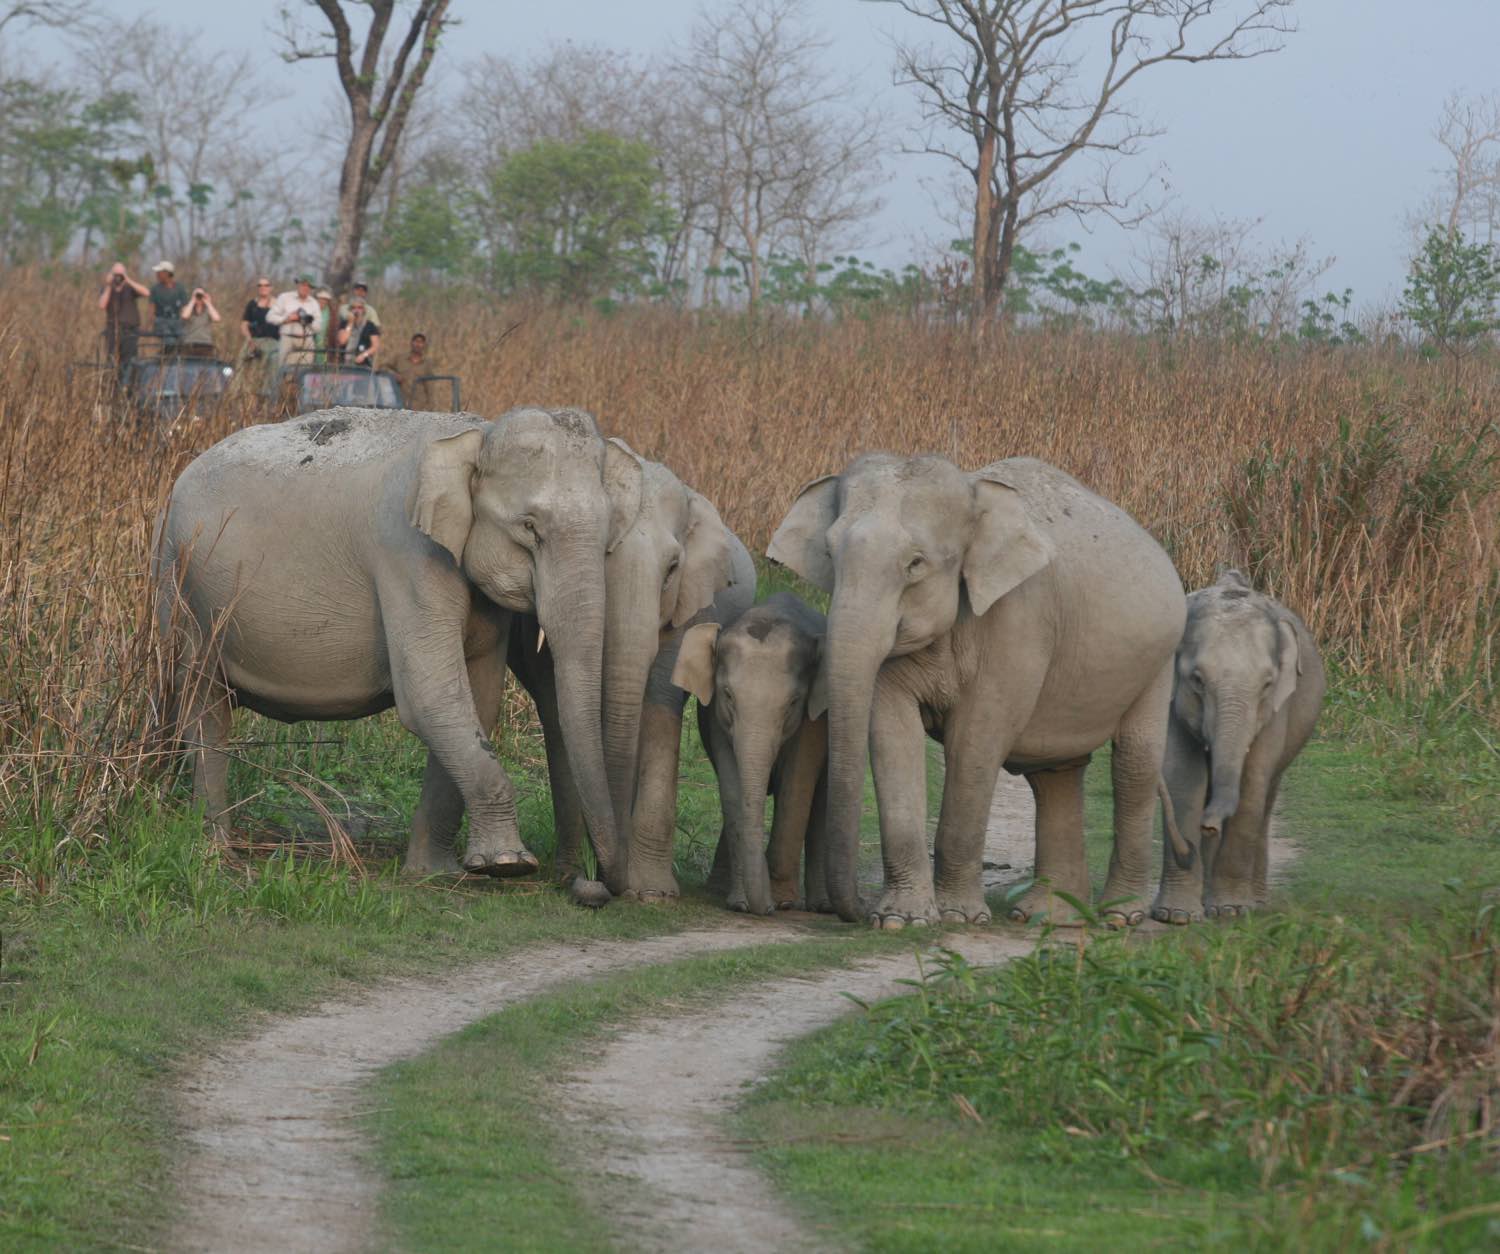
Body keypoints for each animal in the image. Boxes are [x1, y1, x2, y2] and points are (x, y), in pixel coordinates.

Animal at [155, 405, 642, 900]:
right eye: (529, 527)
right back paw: (216, 851)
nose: (595, 885)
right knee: (204, 703)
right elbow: (431, 697)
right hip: (181, 584)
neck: (476, 434)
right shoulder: (407, 555)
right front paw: (509, 864)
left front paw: (436, 873)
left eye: (609, 534)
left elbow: (475, 701)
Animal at [672, 594, 828, 918]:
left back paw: (821, 905)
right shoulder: (717, 718)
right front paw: (742, 903)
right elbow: (732, 787)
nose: (766, 909)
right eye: (728, 695)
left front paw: (783, 902)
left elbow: (797, 784)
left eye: (793, 702)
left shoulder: (814, 721)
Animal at [774, 456, 1182, 924]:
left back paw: (1119, 916)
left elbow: (975, 740)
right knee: (1056, 773)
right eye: (829, 553)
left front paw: (957, 917)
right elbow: (892, 731)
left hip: (1158, 660)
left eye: (915, 563)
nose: (856, 907)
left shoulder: (1020, 620)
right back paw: (1047, 916)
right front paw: (901, 920)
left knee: (1134, 762)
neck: (974, 495)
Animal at [1146, 570, 1326, 918]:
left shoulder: (1277, 707)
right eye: (1197, 680)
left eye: (1267, 684)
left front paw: (1231, 910)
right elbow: (1183, 775)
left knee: (1267, 796)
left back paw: (1255, 901)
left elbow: (1253, 779)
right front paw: (1176, 916)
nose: (1208, 827)